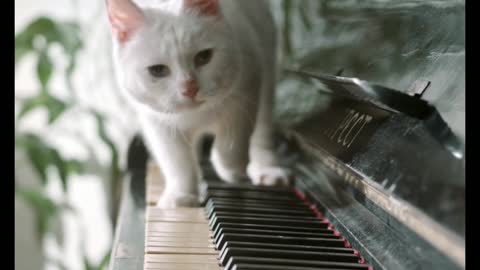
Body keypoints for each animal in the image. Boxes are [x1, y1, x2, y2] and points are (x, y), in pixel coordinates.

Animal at [107, 0, 290, 208]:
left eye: (204, 57)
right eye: (157, 70)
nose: (190, 88)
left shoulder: (247, 91)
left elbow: (232, 142)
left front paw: (231, 169)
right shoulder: (157, 122)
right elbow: (178, 162)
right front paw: (181, 195)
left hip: (267, 70)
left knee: (262, 131)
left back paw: (267, 169)